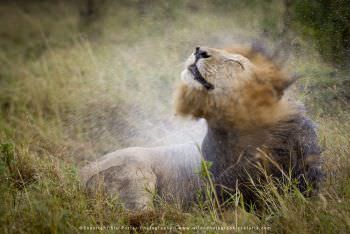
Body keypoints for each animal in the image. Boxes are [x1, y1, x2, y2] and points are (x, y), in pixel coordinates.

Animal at [79, 44, 322, 210]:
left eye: (237, 63)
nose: (199, 51)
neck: (230, 133)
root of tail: (79, 174)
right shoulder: (210, 190)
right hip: (134, 173)